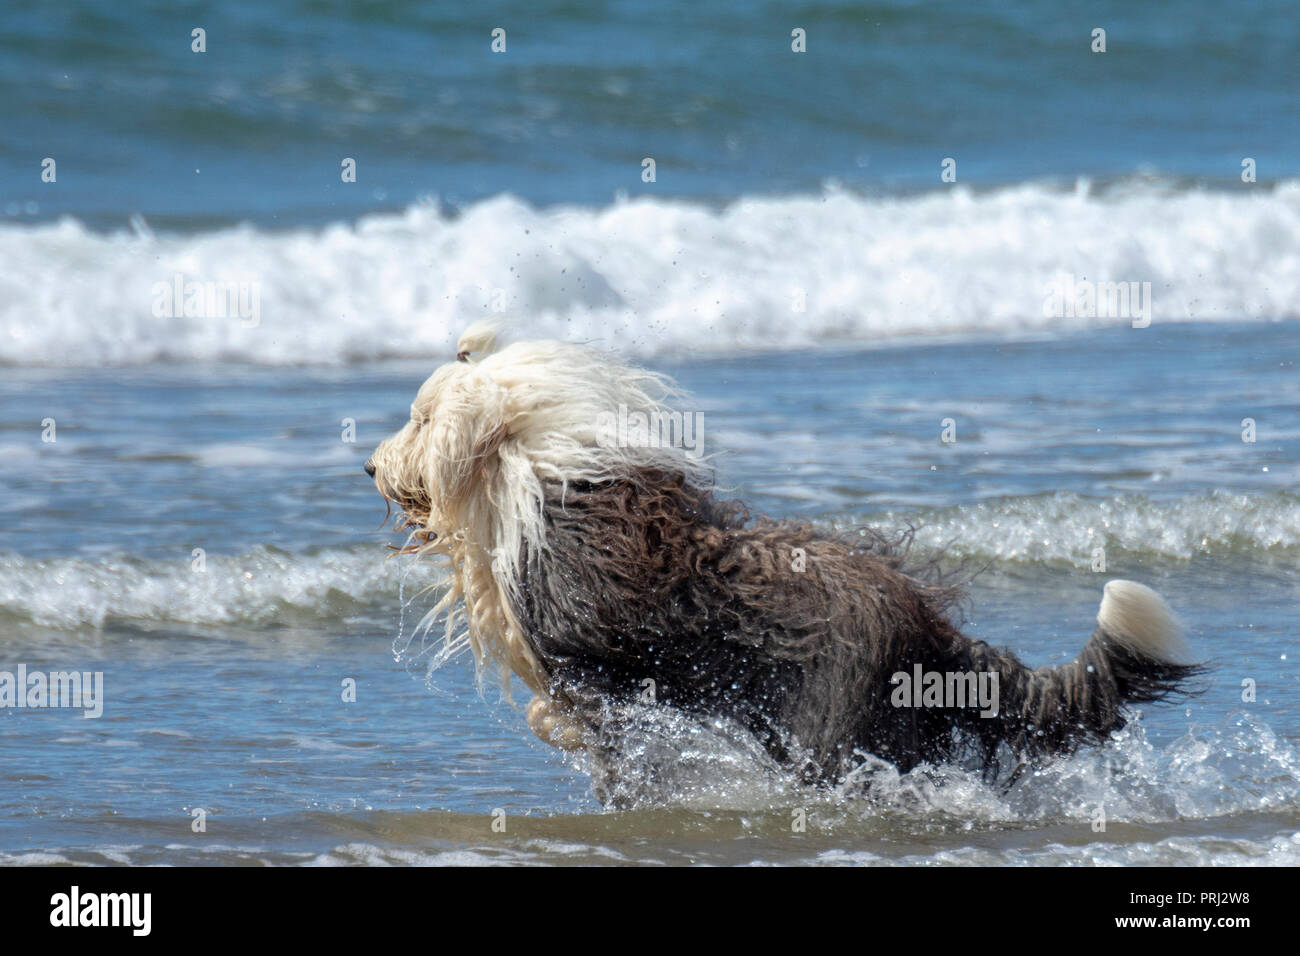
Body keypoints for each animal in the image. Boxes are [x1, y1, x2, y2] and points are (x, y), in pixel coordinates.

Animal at [364, 325, 1196, 806]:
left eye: (418, 417)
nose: (369, 465)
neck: (535, 473)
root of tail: (931, 629)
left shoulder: (597, 669)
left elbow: (572, 716)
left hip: (828, 726)